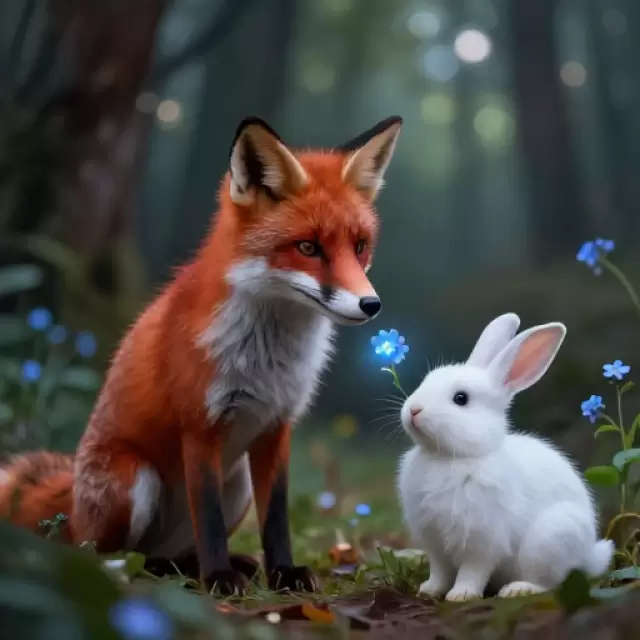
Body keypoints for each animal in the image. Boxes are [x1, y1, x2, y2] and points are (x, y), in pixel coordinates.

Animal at [0, 114, 403, 595]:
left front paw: (283, 573)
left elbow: (277, 518)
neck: (268, 357)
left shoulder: (276, 427)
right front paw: (219, 579)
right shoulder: (200, 426)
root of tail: (73, 506)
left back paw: (202, 566)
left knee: (164, 557)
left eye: (359, 246)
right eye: (308, 248)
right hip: (133, 481)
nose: (371, 304)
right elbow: (207, 518)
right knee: (103, 554)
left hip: (238, 483)